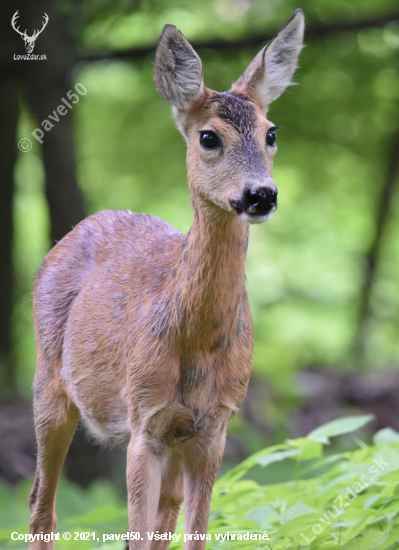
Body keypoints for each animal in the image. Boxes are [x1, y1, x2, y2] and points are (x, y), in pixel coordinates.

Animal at [28, 9, 306, 550]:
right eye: (208, 137)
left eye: (271, 132)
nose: (261, 194)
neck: (195, 341)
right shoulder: (145, 424)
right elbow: (134, 534)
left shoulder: (213, 427)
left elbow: (192, 535)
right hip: (48, 383)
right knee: (40, 507)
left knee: (162, 520)